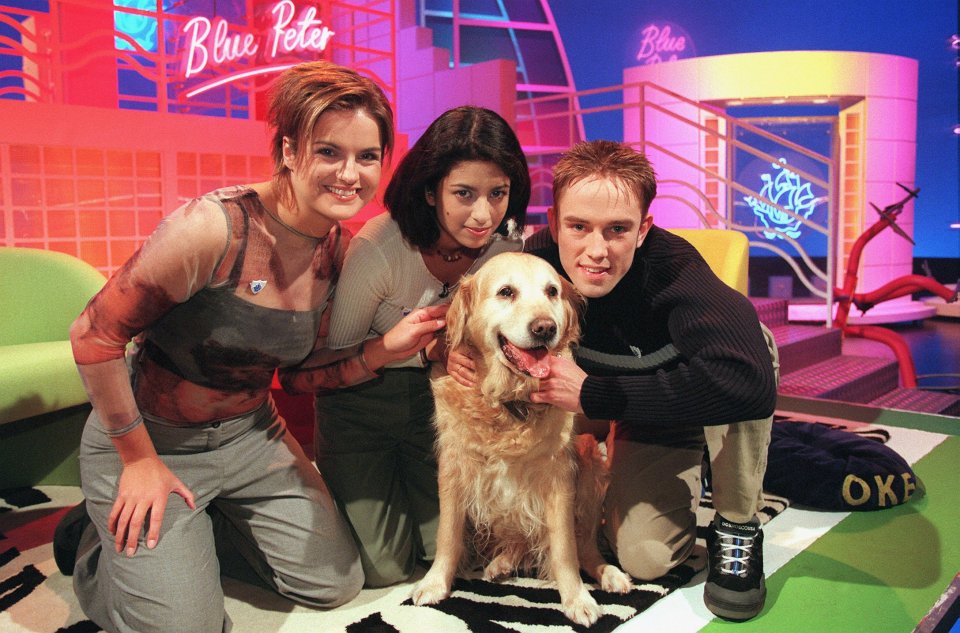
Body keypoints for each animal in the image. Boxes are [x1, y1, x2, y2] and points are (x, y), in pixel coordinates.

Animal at [410, 252, 632, 628]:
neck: (508, 402)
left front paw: (576, 598)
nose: (545, 328)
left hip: (590, 474)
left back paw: (609, 574)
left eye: (552, 291)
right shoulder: (453, 466)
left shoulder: (559, 476)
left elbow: (564, 549)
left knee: (585, 546)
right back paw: (501, 563)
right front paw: (436, 582)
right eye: (506, 292)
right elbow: (448, 534)